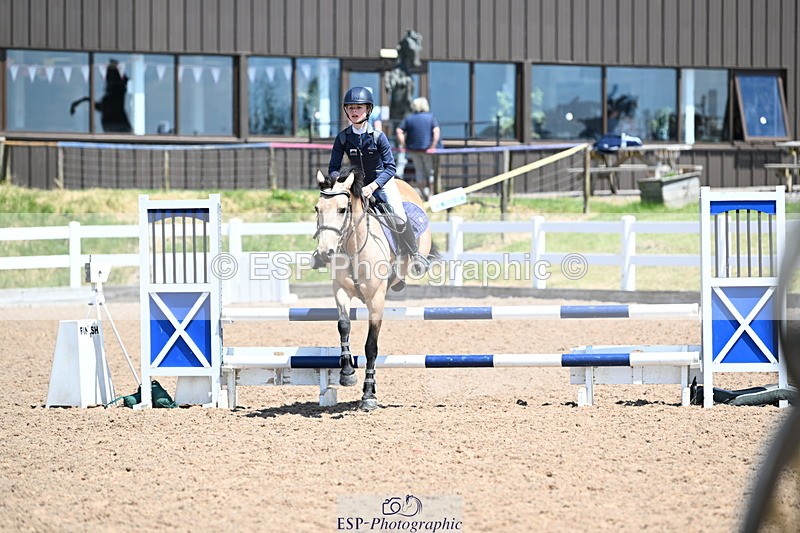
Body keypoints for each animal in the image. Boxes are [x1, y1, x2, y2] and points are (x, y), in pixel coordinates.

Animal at [313, 168, 438, 411]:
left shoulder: (376, 300)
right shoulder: (341, 291)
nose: (324, 253)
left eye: (342, 209)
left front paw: (368, 395)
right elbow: (344, 326)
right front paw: (347, 373)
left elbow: (371, 346)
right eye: (317, 209)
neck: (353, 246)